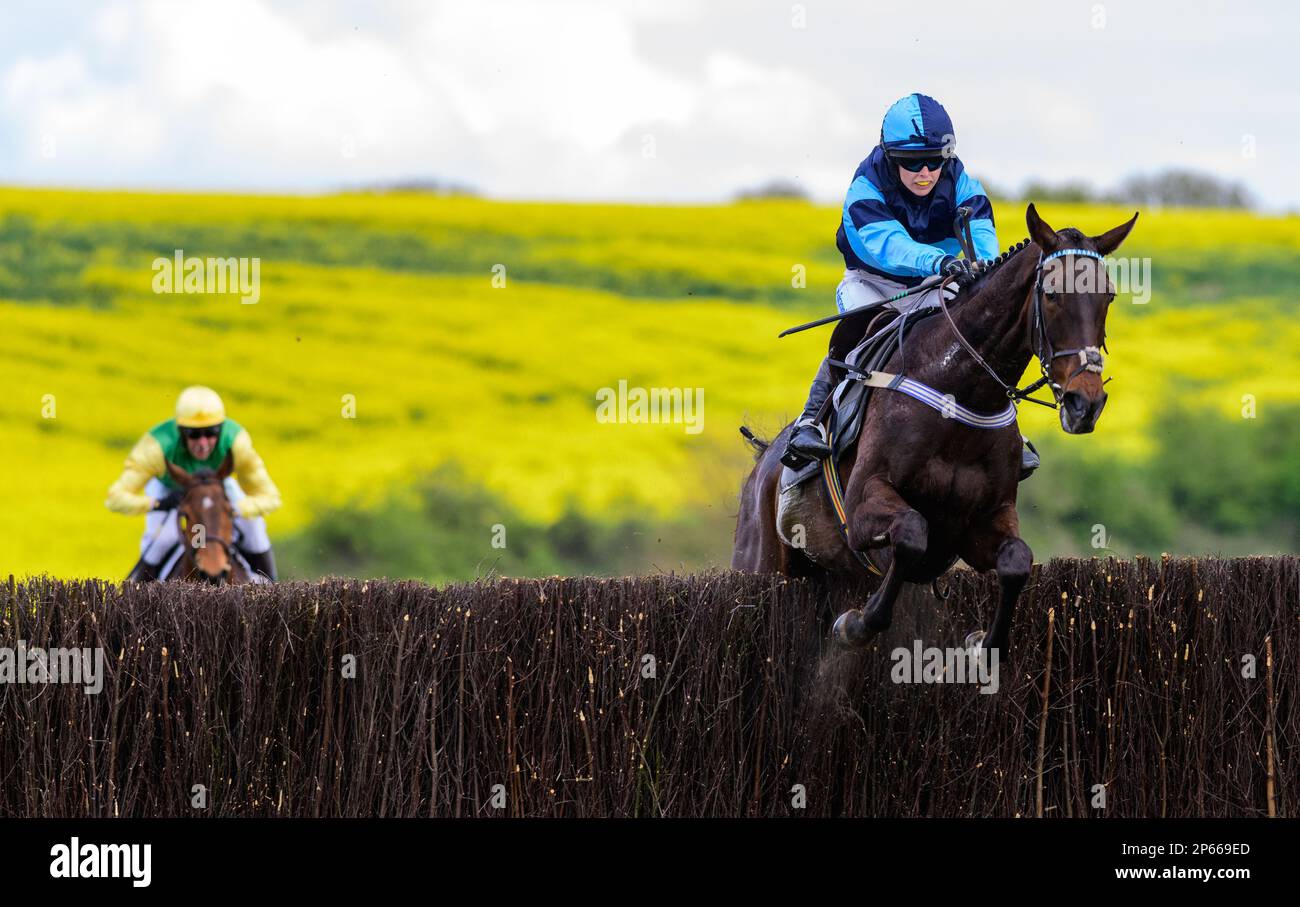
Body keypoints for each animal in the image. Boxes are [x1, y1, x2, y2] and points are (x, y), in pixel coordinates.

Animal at [733, 202, 1138, 657]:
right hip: (759, 559)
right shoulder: (862, 506)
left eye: (1108, 296)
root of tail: (764, 458)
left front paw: (982, 644)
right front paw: (856, 623)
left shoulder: (983, 522)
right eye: (1051, 295)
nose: (1085, 403)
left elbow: (1017, 561)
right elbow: (912, 534)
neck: (959, 394)